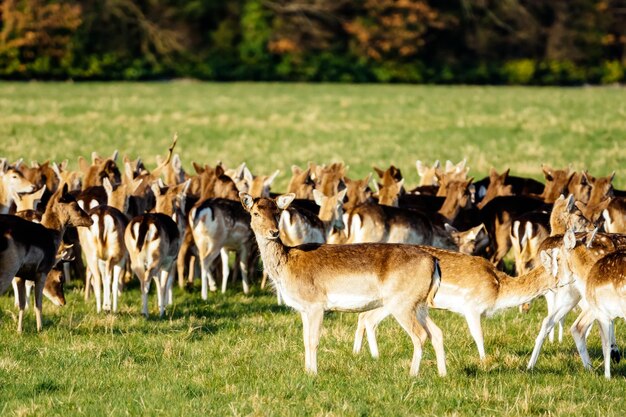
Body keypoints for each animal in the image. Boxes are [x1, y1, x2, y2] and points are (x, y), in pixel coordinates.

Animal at [0, 184, 92, 332]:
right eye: (75, 205)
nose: (91, 220)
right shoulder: (41, 271)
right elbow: (38, 304)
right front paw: (40, 329)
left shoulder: (20, 276)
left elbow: (22, 304)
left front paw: (19, 330)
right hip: (8, 268)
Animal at [238, 193, 444, 376]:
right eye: (255, 213)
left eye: (277, 212)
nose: (273, 232)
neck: (287, 267)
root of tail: (433, 261)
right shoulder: (303, 308)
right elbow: (304, 339)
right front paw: (306, 371)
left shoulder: (315, 304)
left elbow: (313, 340)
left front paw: (314, 374)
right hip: (419, 304)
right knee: (436, 332)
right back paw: (442, 374)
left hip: (402, 302)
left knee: (420, 335)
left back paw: (412, 374)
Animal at [352, 247, 556, 360]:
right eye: (559, 268)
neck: (498, 290)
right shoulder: (471, 307)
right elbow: (478, 335)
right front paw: (484, 360)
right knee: (367, 317)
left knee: (365, 317)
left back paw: (359, 353)